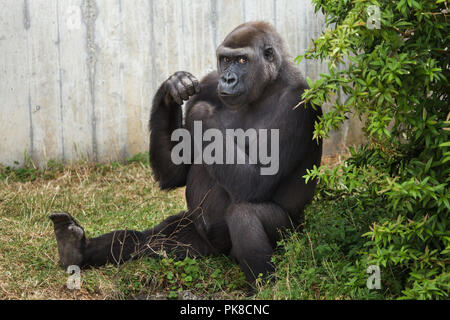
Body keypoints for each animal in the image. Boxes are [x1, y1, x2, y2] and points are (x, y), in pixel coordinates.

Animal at [50, 21, 320, 288]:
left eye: (243, 60)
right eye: (225, 59)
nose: (227, 79)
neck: (266, 86)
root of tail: (219, 252)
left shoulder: (295, 101)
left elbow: (256, 180)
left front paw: (203, 112)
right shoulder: (208, 83)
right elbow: (175, 172)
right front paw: (170, 89)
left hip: (291, 236)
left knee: (245, 214)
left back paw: (264, 288)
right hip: (197, 242)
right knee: (148, 240)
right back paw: (75, 249)